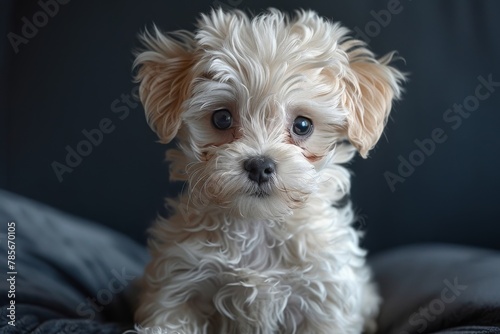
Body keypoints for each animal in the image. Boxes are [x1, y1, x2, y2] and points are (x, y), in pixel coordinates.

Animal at [134, 8, 406, 334]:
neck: (258, 226)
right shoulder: (179, 284)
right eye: (222, 118)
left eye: (302, 125)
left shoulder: (324, 298)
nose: (260, 165)